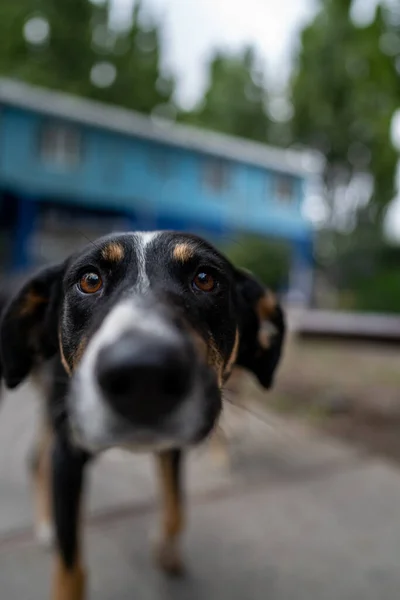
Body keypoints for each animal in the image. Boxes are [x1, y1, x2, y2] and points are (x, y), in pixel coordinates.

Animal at [0, 231, 284, 600]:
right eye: (89, 280)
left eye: (205, 278)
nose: (143, 375)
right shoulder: (70, 451)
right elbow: (70, 568)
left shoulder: (171, 447)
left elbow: (176, 508)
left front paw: (167, 552)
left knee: (36, 458)